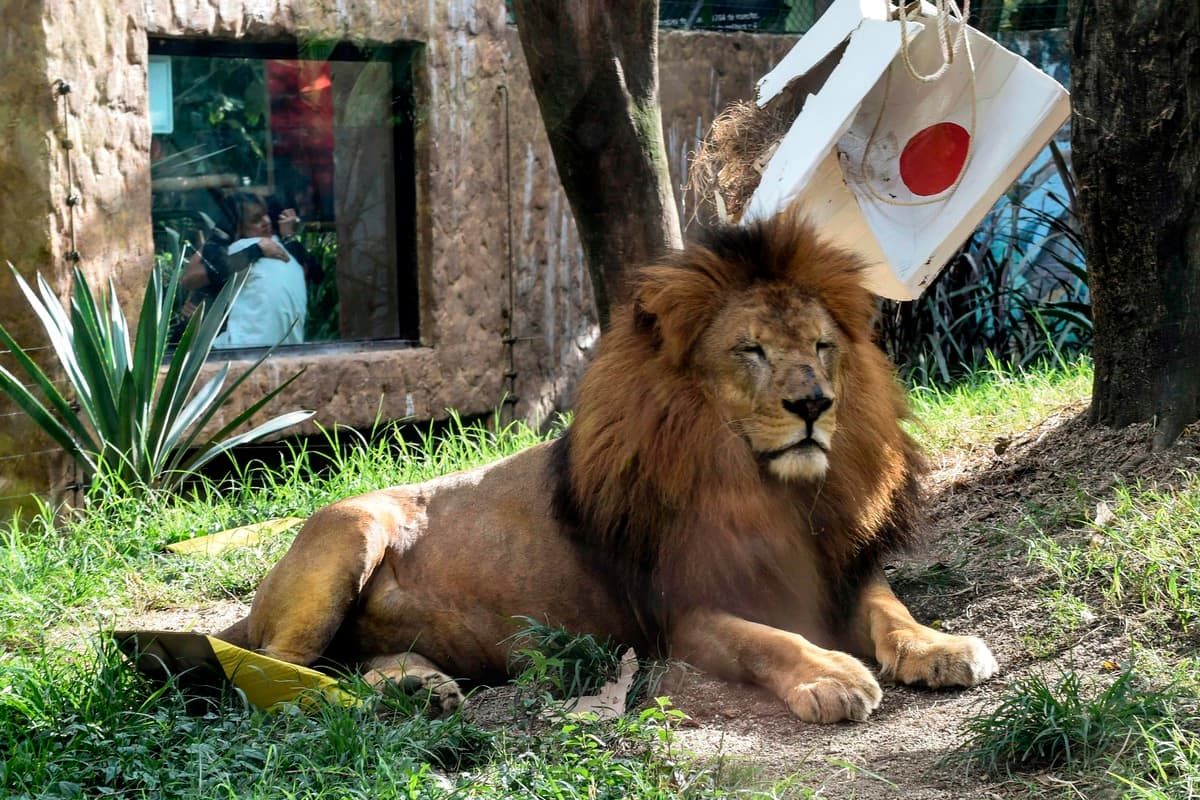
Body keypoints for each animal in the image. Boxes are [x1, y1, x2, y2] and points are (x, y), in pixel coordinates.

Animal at [218, 214, 997, 723]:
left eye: (822, 346)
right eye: (751, 351)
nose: (814, 404)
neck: (765, 486)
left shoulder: (842, 563)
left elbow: (890, 607)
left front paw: (940, 647)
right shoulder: (677, 613)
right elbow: (766, 639)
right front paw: (831, 674)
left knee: (343, 659)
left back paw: (416, 687)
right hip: (348, 531)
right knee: (276, 669)